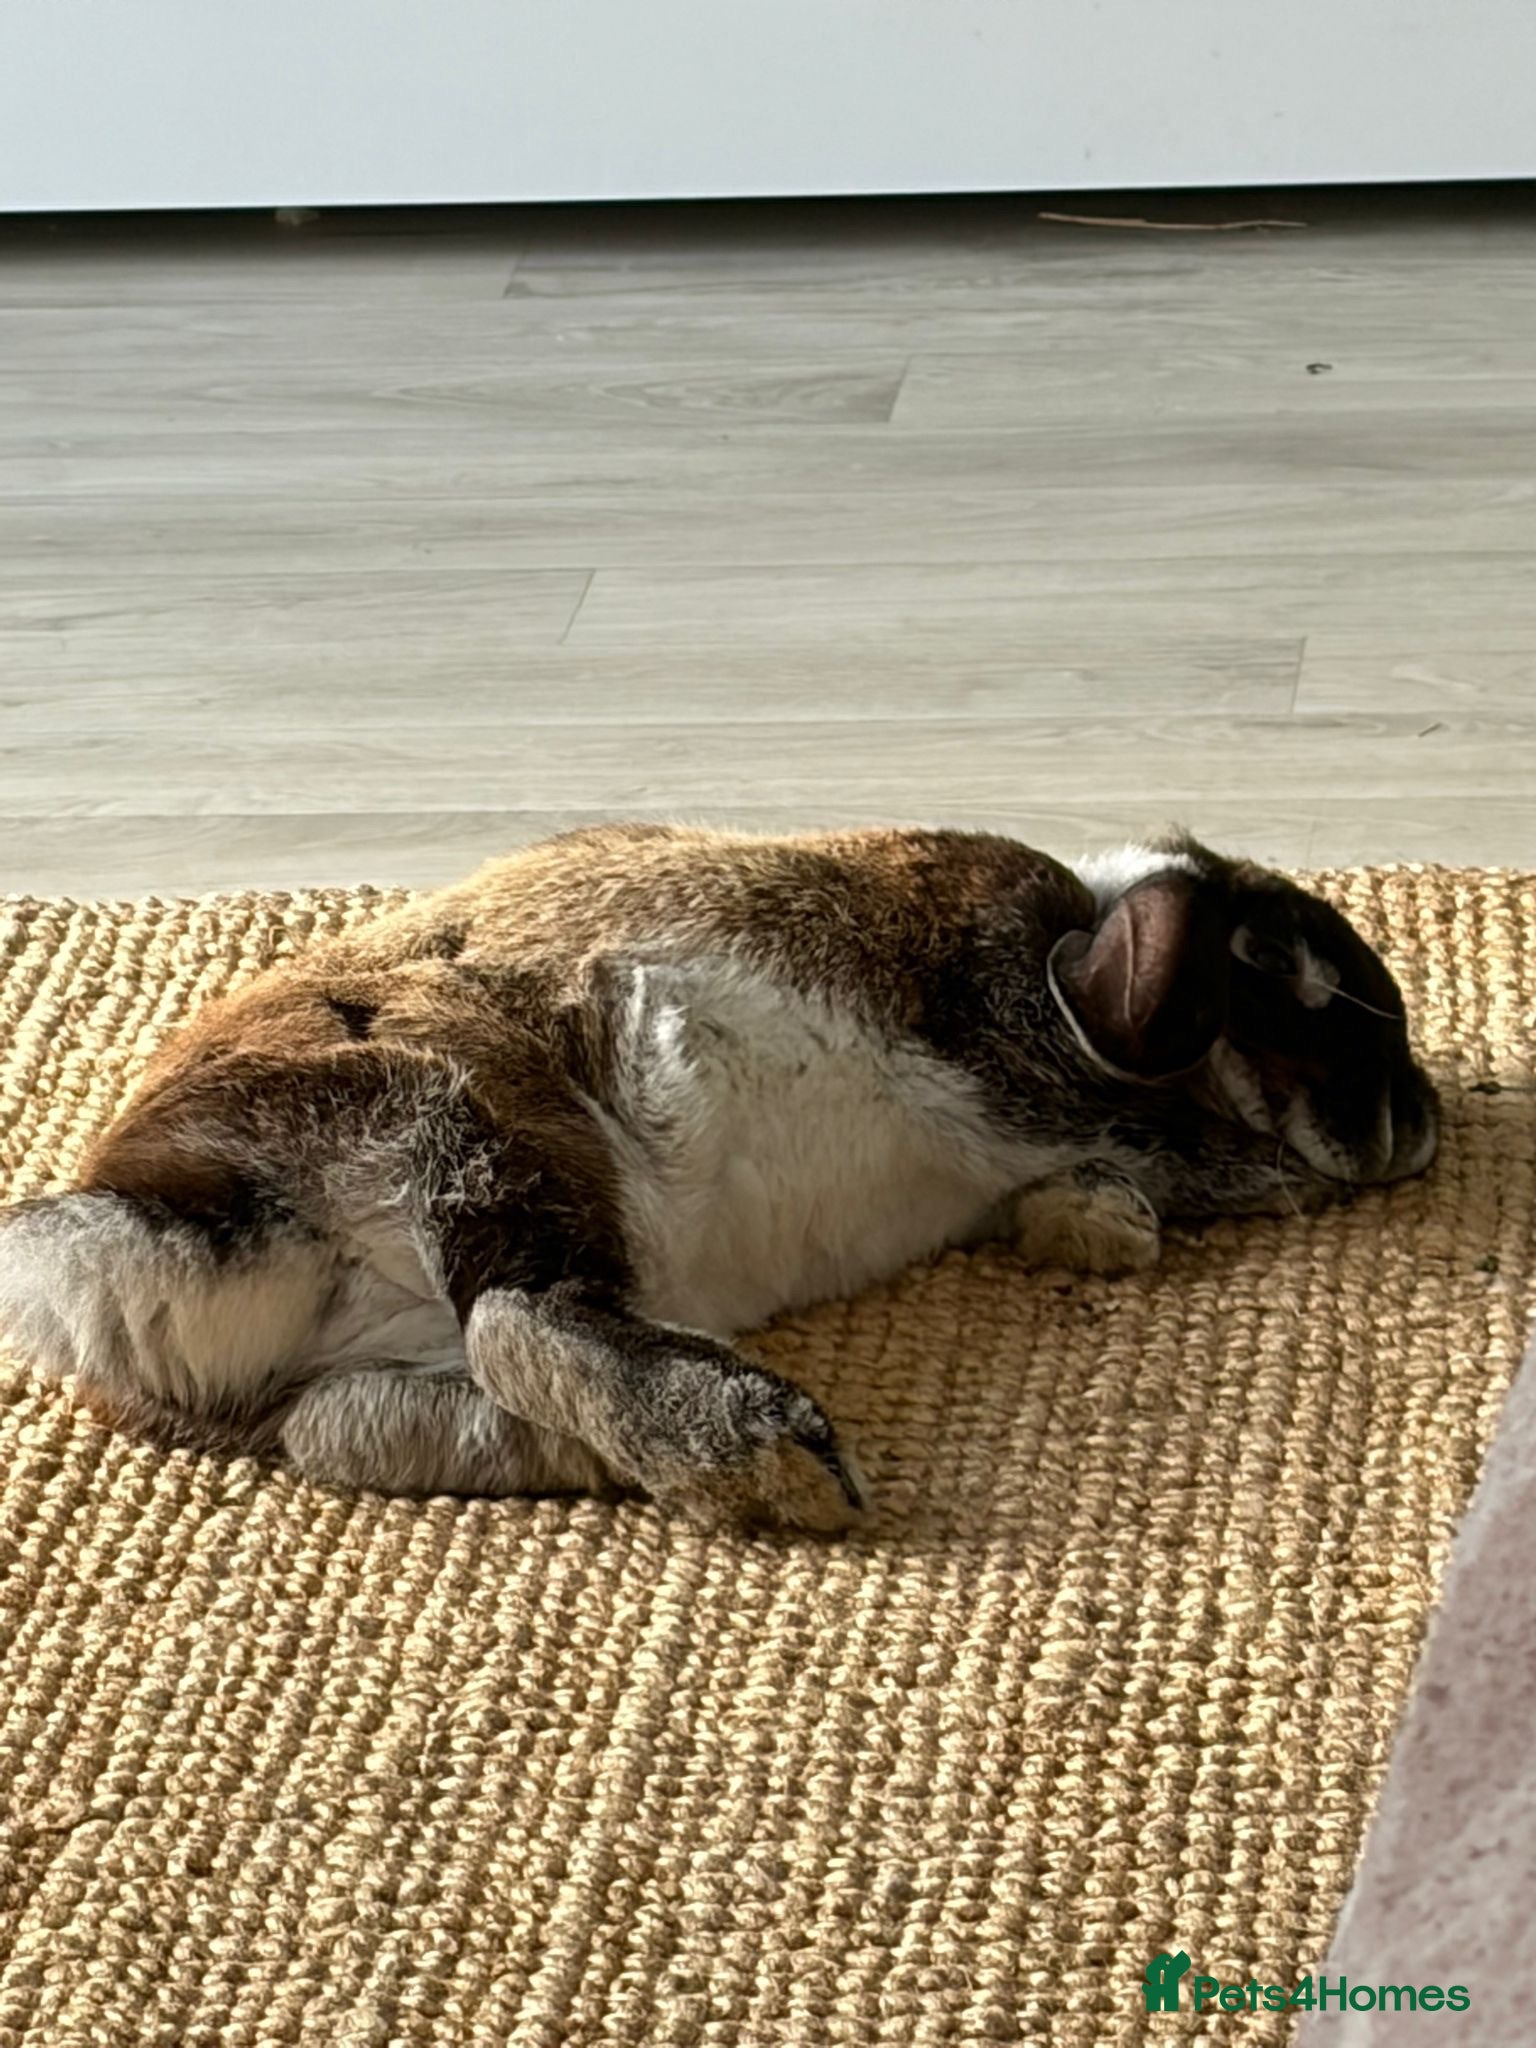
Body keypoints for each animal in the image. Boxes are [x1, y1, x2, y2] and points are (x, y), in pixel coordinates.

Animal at [0, 824, 1438, 1531]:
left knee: (364, 1422)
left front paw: (1097, 1226)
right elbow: (1201, 1152)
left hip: (351, 1361)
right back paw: (770, 1456)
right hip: (474, 1119)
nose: (1422, 1120)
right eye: (1292, 980)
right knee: (525, 1317)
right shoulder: (1022, 1045)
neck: (1070, 935)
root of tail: (162, 1213)